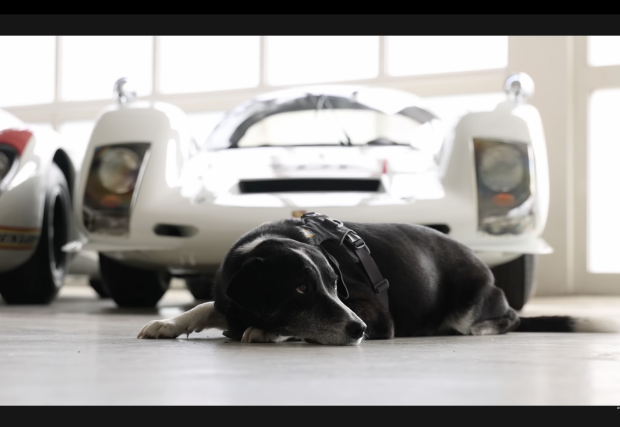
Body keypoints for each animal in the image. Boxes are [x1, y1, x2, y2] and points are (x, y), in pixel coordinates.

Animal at [138, 215, 617, 345]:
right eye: (300, 289)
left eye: (335, 285)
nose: (360, 330)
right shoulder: (226, 294)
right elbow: (207, 304)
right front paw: (169, 323)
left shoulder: (374, 312)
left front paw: (265, 331)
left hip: (476, 300)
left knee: (507, 319)